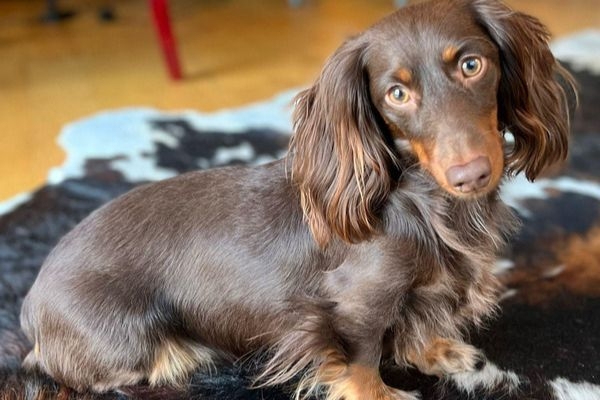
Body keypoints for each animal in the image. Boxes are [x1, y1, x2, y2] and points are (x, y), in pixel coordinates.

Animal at [18, 0, 576, 400]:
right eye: (396, 94)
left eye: (472, 64)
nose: (471, 174)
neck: (425, 205)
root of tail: (29, 304)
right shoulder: (354, 306)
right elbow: (362, 362)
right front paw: (383, 392)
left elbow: (415, 325)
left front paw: (435, 351)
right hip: (135, 344)